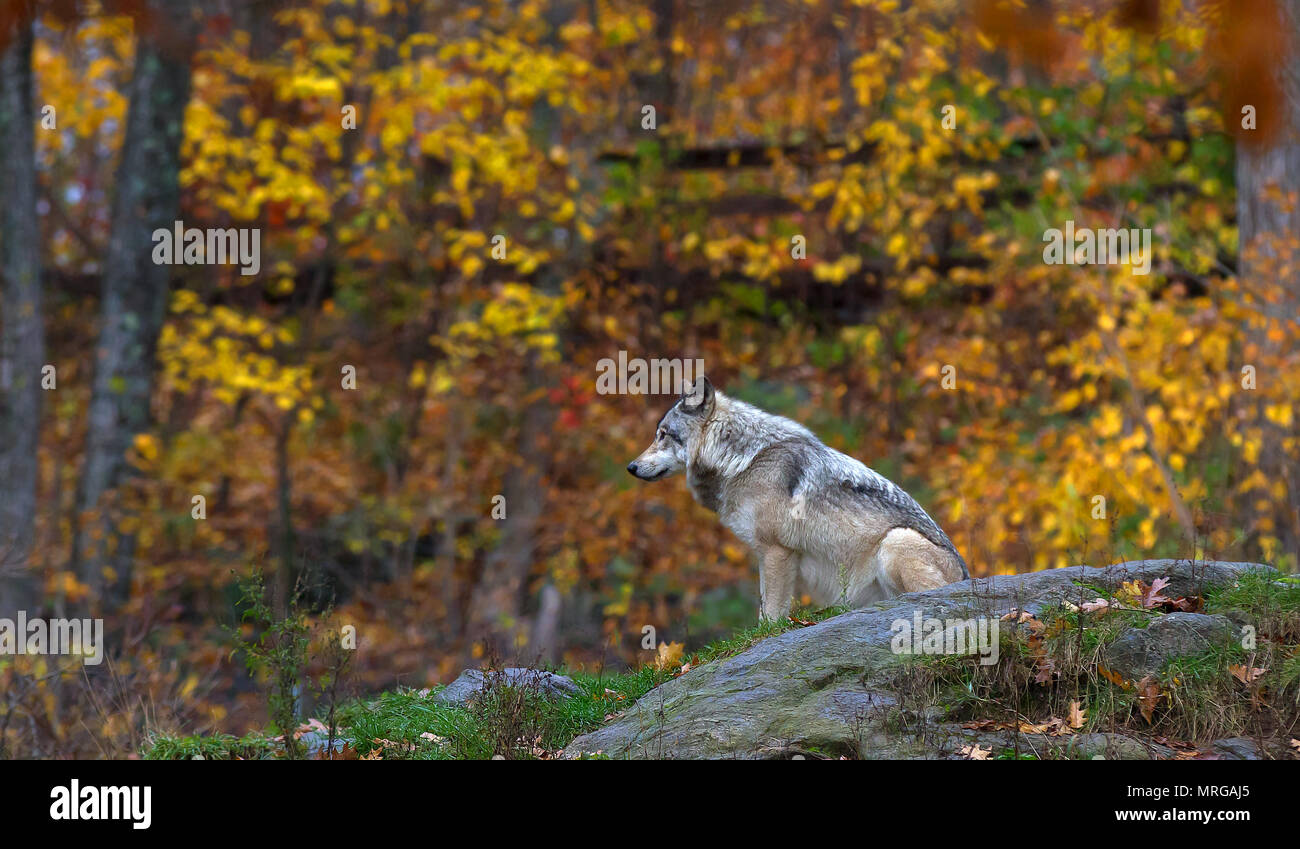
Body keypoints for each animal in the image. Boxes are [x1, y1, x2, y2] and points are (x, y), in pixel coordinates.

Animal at [627, 376, 968, 621]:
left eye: (662, 435)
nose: (631, 467)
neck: (742, 458)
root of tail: (966, 574)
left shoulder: (776, 551)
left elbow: (771, 615)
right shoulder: (765, 555)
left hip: (895, 539)